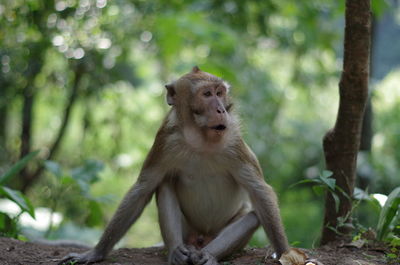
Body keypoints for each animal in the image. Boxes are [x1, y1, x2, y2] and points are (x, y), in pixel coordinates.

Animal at [58, 66, 304, 264]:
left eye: (220, 93)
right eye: (207, 94)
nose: (221, 109)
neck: (200, 138)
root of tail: (200, 239)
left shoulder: (234, 144)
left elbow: (260, 191)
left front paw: (286, 253)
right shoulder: (165, 141)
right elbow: (142, 190)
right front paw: (95, 253)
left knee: (252, 217)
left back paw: (208, 255)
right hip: (188, 232)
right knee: (164, 186)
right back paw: (177, 252)